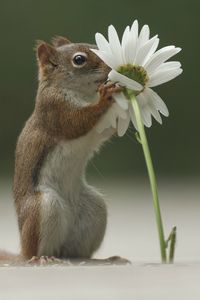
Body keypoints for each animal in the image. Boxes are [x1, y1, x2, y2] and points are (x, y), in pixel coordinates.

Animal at [0, 35, 126, 264]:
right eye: (79, 59)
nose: (113, 66)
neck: (83, 94)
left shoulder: (98, 129)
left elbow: (108, 127)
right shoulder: (55, 111)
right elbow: (77, 122)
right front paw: (106, 96)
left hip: (94, 209)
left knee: (76, 253)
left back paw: (104, 259)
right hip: (43, 207)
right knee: (35, 250)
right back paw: (41, 258)